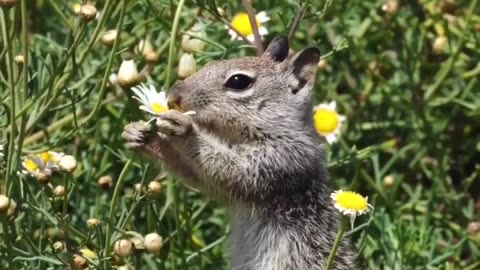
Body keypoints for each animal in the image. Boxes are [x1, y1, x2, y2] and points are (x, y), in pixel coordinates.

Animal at [124, 36, 356, 270]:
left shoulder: (282, 161)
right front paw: (140, 135)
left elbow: (232, 170)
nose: (173, 96)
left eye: (238, 81)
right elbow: (201, 177)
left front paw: (184, 128)